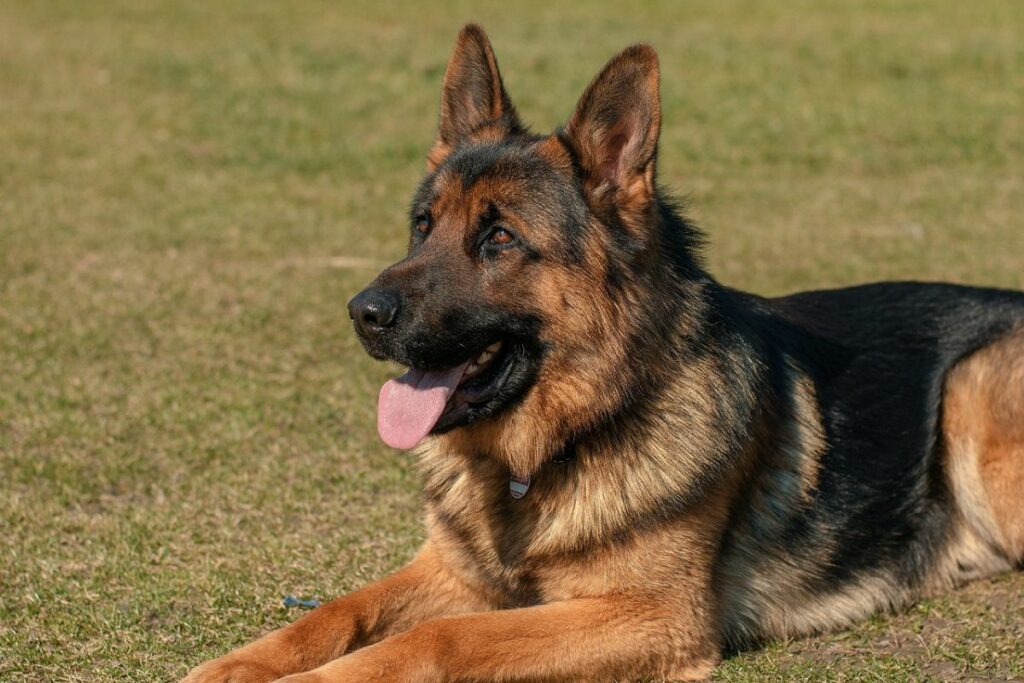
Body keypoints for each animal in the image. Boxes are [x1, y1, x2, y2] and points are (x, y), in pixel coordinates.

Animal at [184, 22, 1024, 683]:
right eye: (423, 225)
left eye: (499, 238)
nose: (363, 313)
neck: (549, 452)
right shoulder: (451, 568)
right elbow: (335, 610)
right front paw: (243, 662)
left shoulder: (650, 615)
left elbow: (443, 636)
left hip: (972, 396)